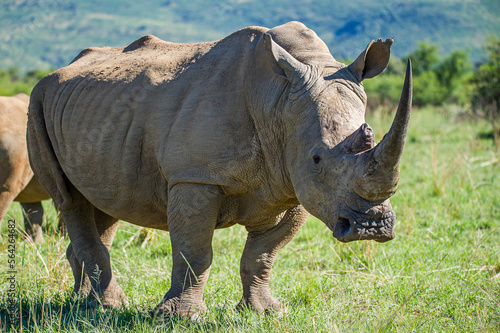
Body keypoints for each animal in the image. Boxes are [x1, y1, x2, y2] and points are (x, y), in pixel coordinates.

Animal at [25, 20, 412, 316]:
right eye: (317, 159)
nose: (372, 227)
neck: (278, 99)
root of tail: (58, 71)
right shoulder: (195, 177)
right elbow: (194, 250)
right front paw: (180, 317)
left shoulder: (296, 186)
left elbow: (263, 253)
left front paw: (266, 312)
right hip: (37, 101)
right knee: (69, 199)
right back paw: (107, 306)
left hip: (98, 113)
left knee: (104, 203)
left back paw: (84, 303)